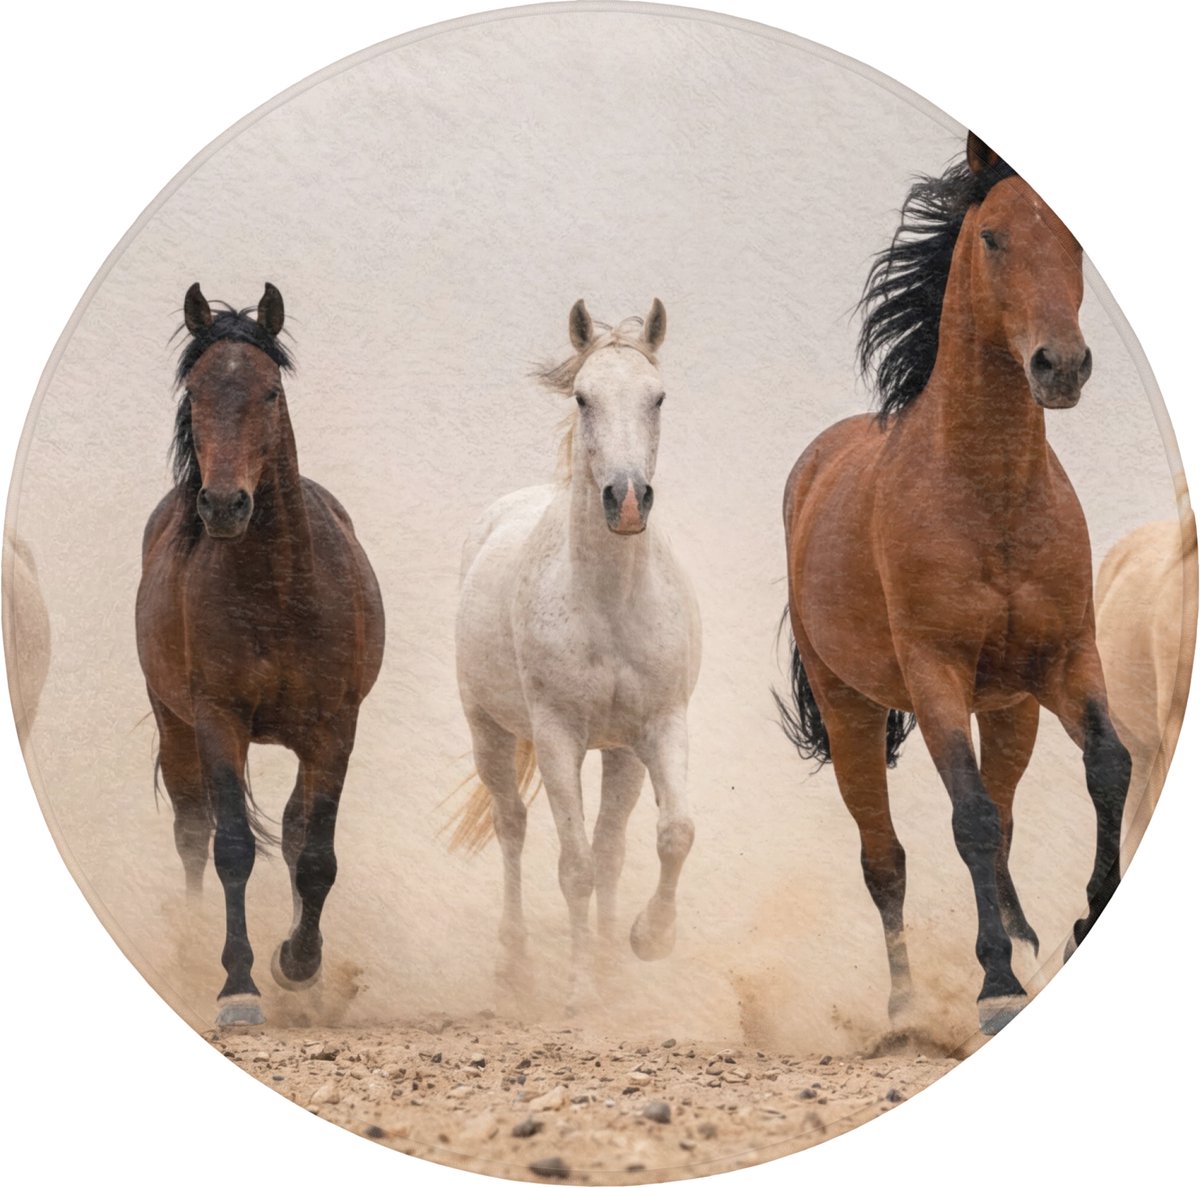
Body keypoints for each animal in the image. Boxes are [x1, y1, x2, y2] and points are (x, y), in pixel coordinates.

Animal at [136, 283, 385, 1027]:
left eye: (270, 391)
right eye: (194, 391)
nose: (223, 504)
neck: (278, 593)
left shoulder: (335, 728)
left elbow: (317, 855)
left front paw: (298, 966)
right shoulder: (218, 719)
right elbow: (232, 848)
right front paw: (238, 987)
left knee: (298, 830)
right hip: (174, 724)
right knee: (193, 830)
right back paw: (194, 948)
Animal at [451, 299, 700, 1009]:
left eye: (658, 397)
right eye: (584, 398)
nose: (627, 500)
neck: (608, 603)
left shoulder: (657, 727)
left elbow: (671, 835)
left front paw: (647, 942)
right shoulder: (558, 735)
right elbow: (576, 867)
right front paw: (581, 992)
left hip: (618, 754)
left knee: (612, 845)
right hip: (490, 732)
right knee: (511, 825)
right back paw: (515, 967)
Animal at [777, 133, 1130, 1036]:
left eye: (1074, 243)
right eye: (994, 238)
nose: (1061, 366)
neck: (992, 494)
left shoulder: (1065, 660)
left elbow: (1108, 767)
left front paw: (1084, 923)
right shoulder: (933, 672)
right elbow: (965, 817)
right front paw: (995, 986)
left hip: (1008, 710)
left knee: (1003, 820)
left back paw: (1029, 940)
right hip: (851, 708)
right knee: (886, 858)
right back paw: (905, 1007)